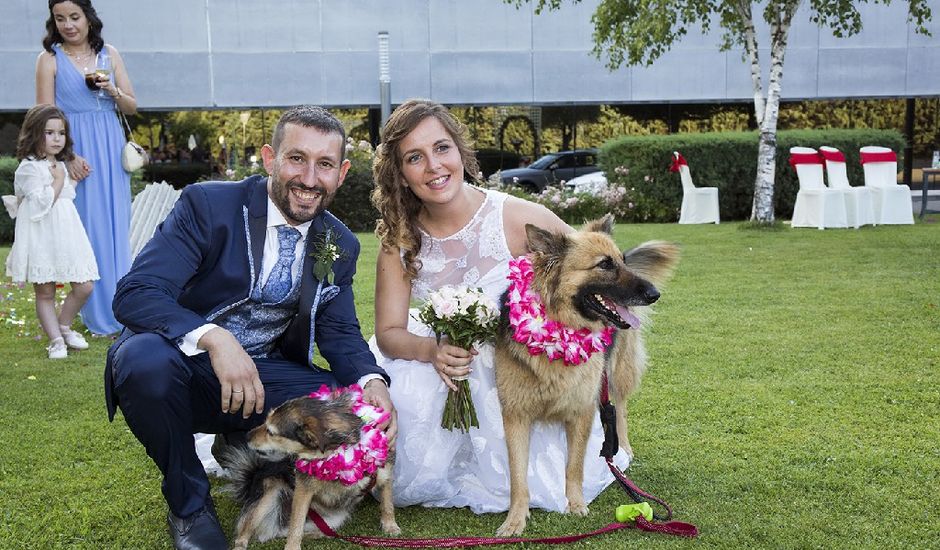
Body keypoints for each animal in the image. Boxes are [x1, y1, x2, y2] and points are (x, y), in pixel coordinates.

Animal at [231, 392, 404, 550]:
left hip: (335, 518)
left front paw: (390, 526)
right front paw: (292, 547)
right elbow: (296, 524)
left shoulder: (385, 473)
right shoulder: (303, 489)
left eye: (271, 432)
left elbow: (387, 504)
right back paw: (240, 543)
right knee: (247, 527)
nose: (247, 436)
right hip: (270, 492)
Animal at [492, 217, 676, 540]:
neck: (558, 328)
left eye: (621, 260)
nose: (654, 294)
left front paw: (576, 504)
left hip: (617, 372)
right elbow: (518, 475)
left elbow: (574, 464)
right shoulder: (515, 415)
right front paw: (515, 519)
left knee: (621, 408)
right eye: (604, 264)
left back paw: (624, 451)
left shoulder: (582, 411)